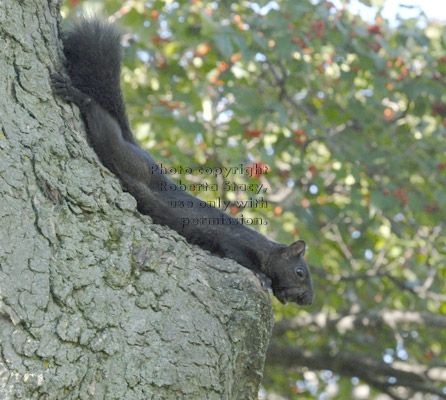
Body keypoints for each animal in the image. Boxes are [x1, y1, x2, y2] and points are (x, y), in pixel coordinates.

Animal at [50, 18, 314, 304]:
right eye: (300, 272)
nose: (308, 300)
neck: (264, 249)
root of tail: (135, 147)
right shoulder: (234, 243)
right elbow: (237, 255)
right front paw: (262, 276)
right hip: (119, 151)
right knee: (98, 118)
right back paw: (77, 96)